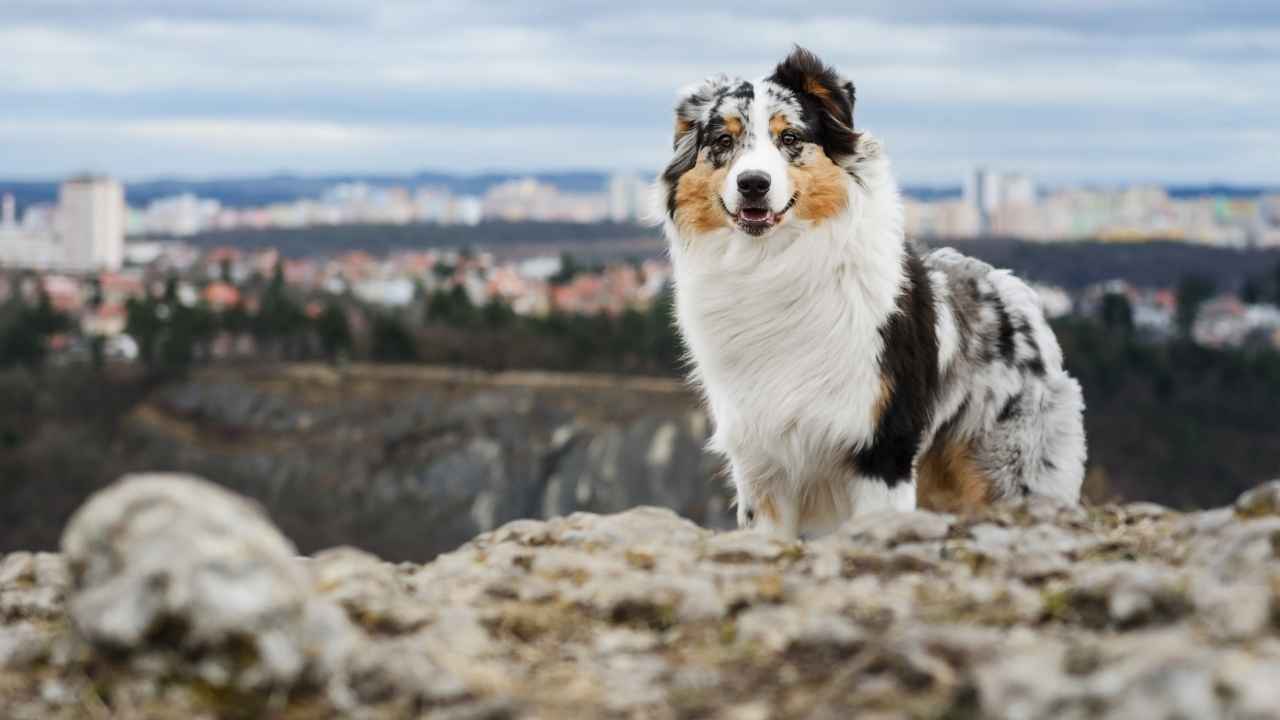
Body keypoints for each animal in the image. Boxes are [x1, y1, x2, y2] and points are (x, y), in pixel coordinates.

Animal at [655, 47, 1085, 535]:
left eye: (790, 137)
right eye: (723, 141)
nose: (753, 184)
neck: (773, 266)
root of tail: (1016, 290)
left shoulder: (884, 447)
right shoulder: (761, 462)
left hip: (1007, 468)